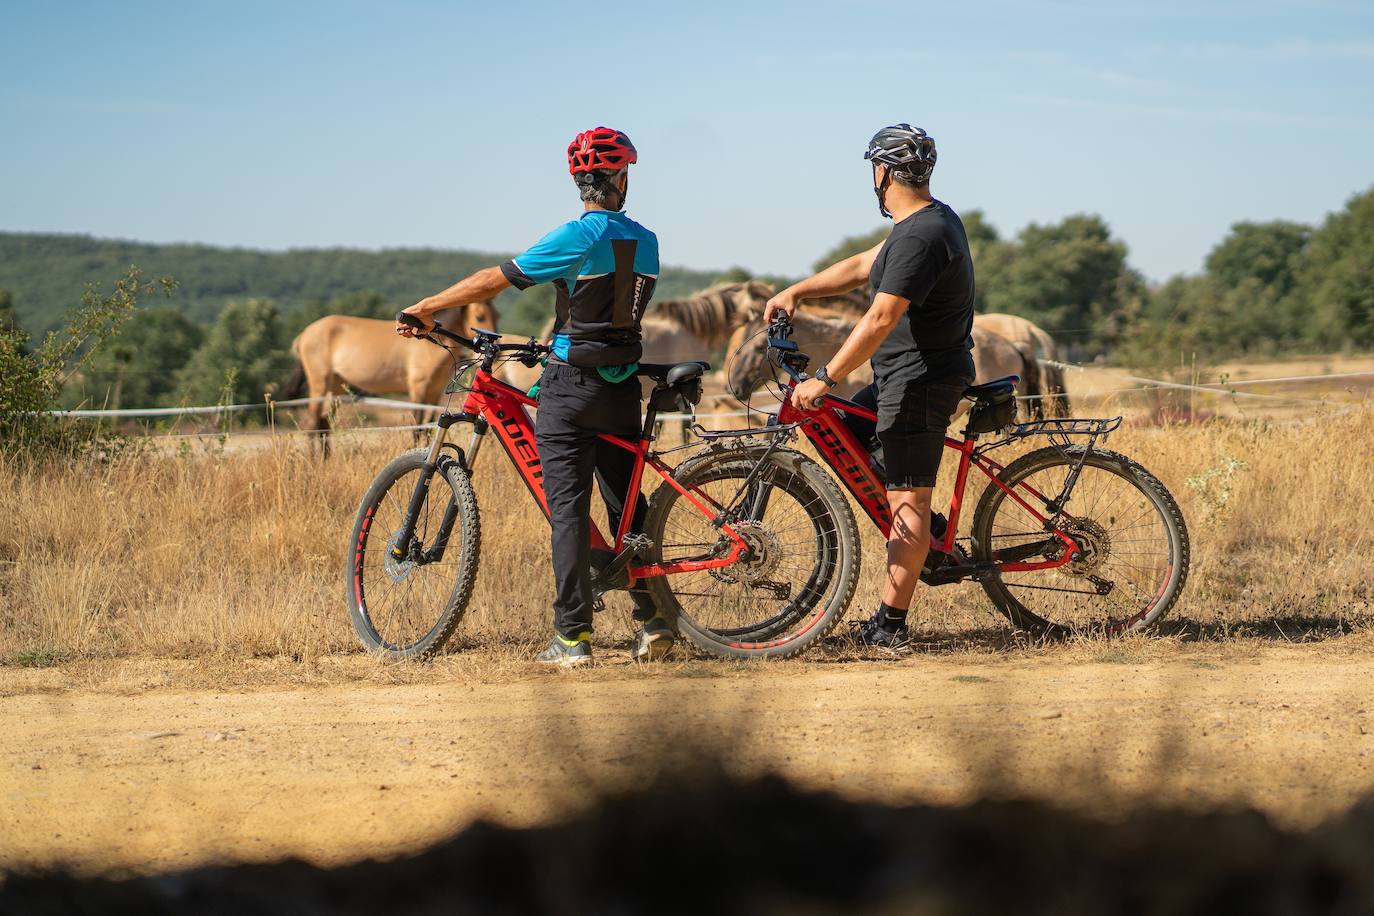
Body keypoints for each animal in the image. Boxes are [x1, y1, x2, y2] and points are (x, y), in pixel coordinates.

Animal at [278, 300, 500, 450]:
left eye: (497, 315)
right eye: (480, 316)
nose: (496, 352)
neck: (430, 345)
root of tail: (304, 334)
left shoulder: (434, 392)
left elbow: (428, 428)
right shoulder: (418, 389)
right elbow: (417, 427)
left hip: (335, 387)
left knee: (323, 425)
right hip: (319, 385)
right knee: (312, 424)